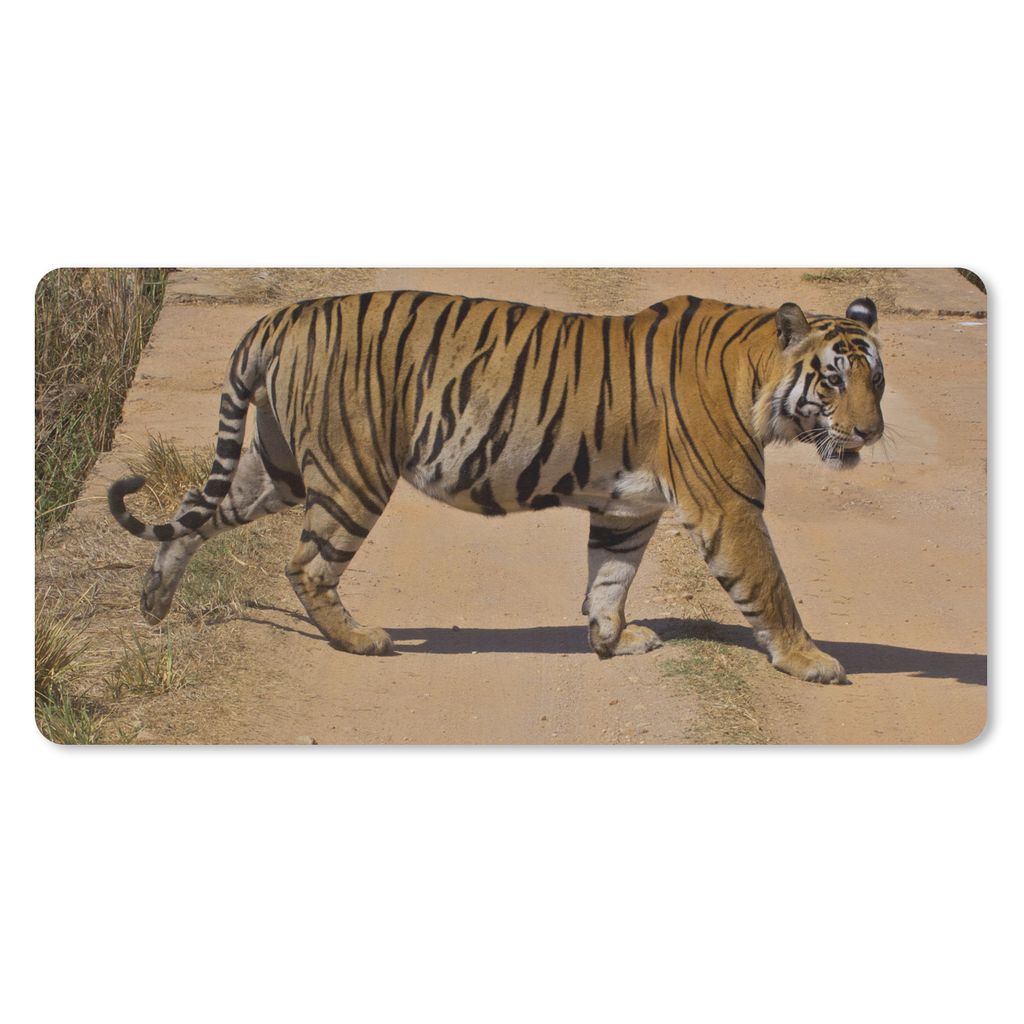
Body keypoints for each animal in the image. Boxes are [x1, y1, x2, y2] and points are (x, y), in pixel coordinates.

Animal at [108, 290, 884, 683]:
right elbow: (770, 585)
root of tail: (281, 316)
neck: (757, 374)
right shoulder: (728, 505)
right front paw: (811, 660)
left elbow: (610, 577)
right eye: (832, 380)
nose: (871, 432)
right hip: (351, 471)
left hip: (277, 467)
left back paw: (153, 602)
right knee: (305, 565)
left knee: (192, 512)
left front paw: (613, 641)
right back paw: (361, 641)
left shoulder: (627, 507)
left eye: (876, 380)